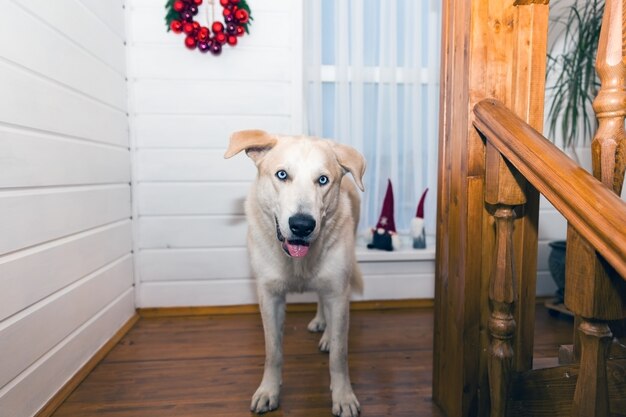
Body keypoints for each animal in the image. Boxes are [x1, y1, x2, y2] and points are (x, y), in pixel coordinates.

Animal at [223, 130, 366, 416]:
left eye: (323, 180)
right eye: (282, 175)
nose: (302, 225)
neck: (298, 261)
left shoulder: (337, 290)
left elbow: (340, 354)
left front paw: (343, 395)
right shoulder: (270, 297)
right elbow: (273, 351)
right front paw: (269, 391)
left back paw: (326, 332)